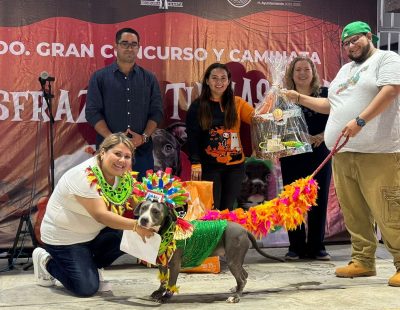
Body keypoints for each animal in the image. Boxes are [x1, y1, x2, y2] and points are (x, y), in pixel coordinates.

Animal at [134, 200, 284, 304]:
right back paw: (236, 290)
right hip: (235, 259)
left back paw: (235, 297)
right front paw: (159, 292)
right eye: (143, 208)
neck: (166, 230)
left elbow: (171, 283)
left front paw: (165, 297)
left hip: (233, 260)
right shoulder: (162, 264)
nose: (143, 219)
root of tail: (244, 230)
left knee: (242, 278)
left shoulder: (175, 265)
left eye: (155, 212)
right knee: (244, 276)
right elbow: (163, 281)